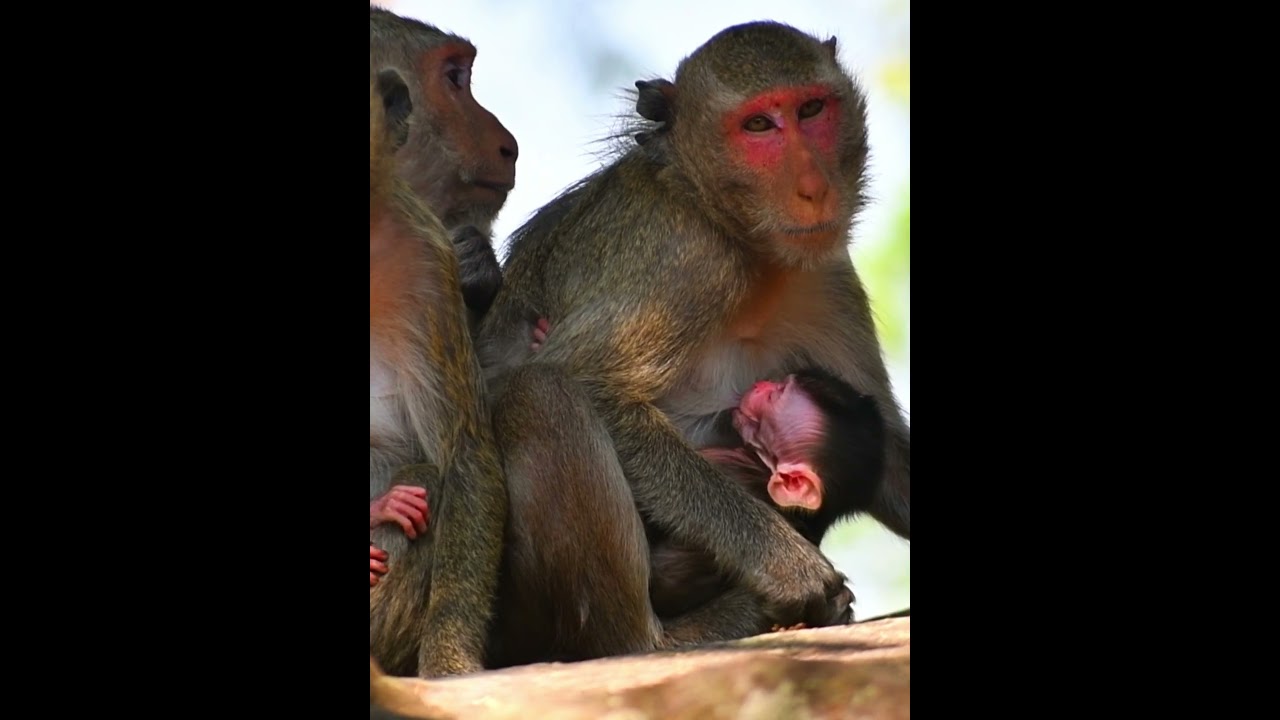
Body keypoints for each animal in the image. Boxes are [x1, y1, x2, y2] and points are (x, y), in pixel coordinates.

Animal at [476, 21, 910, 666]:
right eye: (759, 126)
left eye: (811, 110)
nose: (813, 188)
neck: (743, 240)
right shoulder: (681, 259)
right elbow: (592, 385)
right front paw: (786, 566)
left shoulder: (823, 271)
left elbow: (882, 441)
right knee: (542, 393)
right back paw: (652, 638)